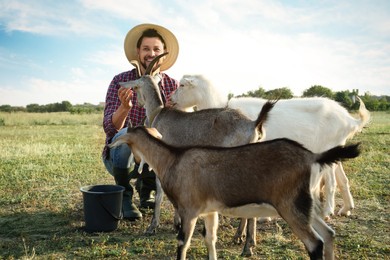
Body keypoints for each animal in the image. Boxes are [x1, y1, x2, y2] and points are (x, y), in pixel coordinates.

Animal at [111, 125, 362, 258]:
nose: (136, 167)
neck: (173, 160)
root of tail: (313, 157)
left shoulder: (189, 211)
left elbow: (183, 243)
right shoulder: (209, 211)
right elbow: (210, 239)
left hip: (290, 206)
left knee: (315, 243)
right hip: (306, 206)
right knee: (329, 234)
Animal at [171, 74, 372, 218]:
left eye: (182, 85)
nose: (171, 99)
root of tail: (348, 120)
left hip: (328, 146)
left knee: (330, 182)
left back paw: (327, 211)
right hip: (337, 147)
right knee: (342, 179)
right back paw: (346, 208)